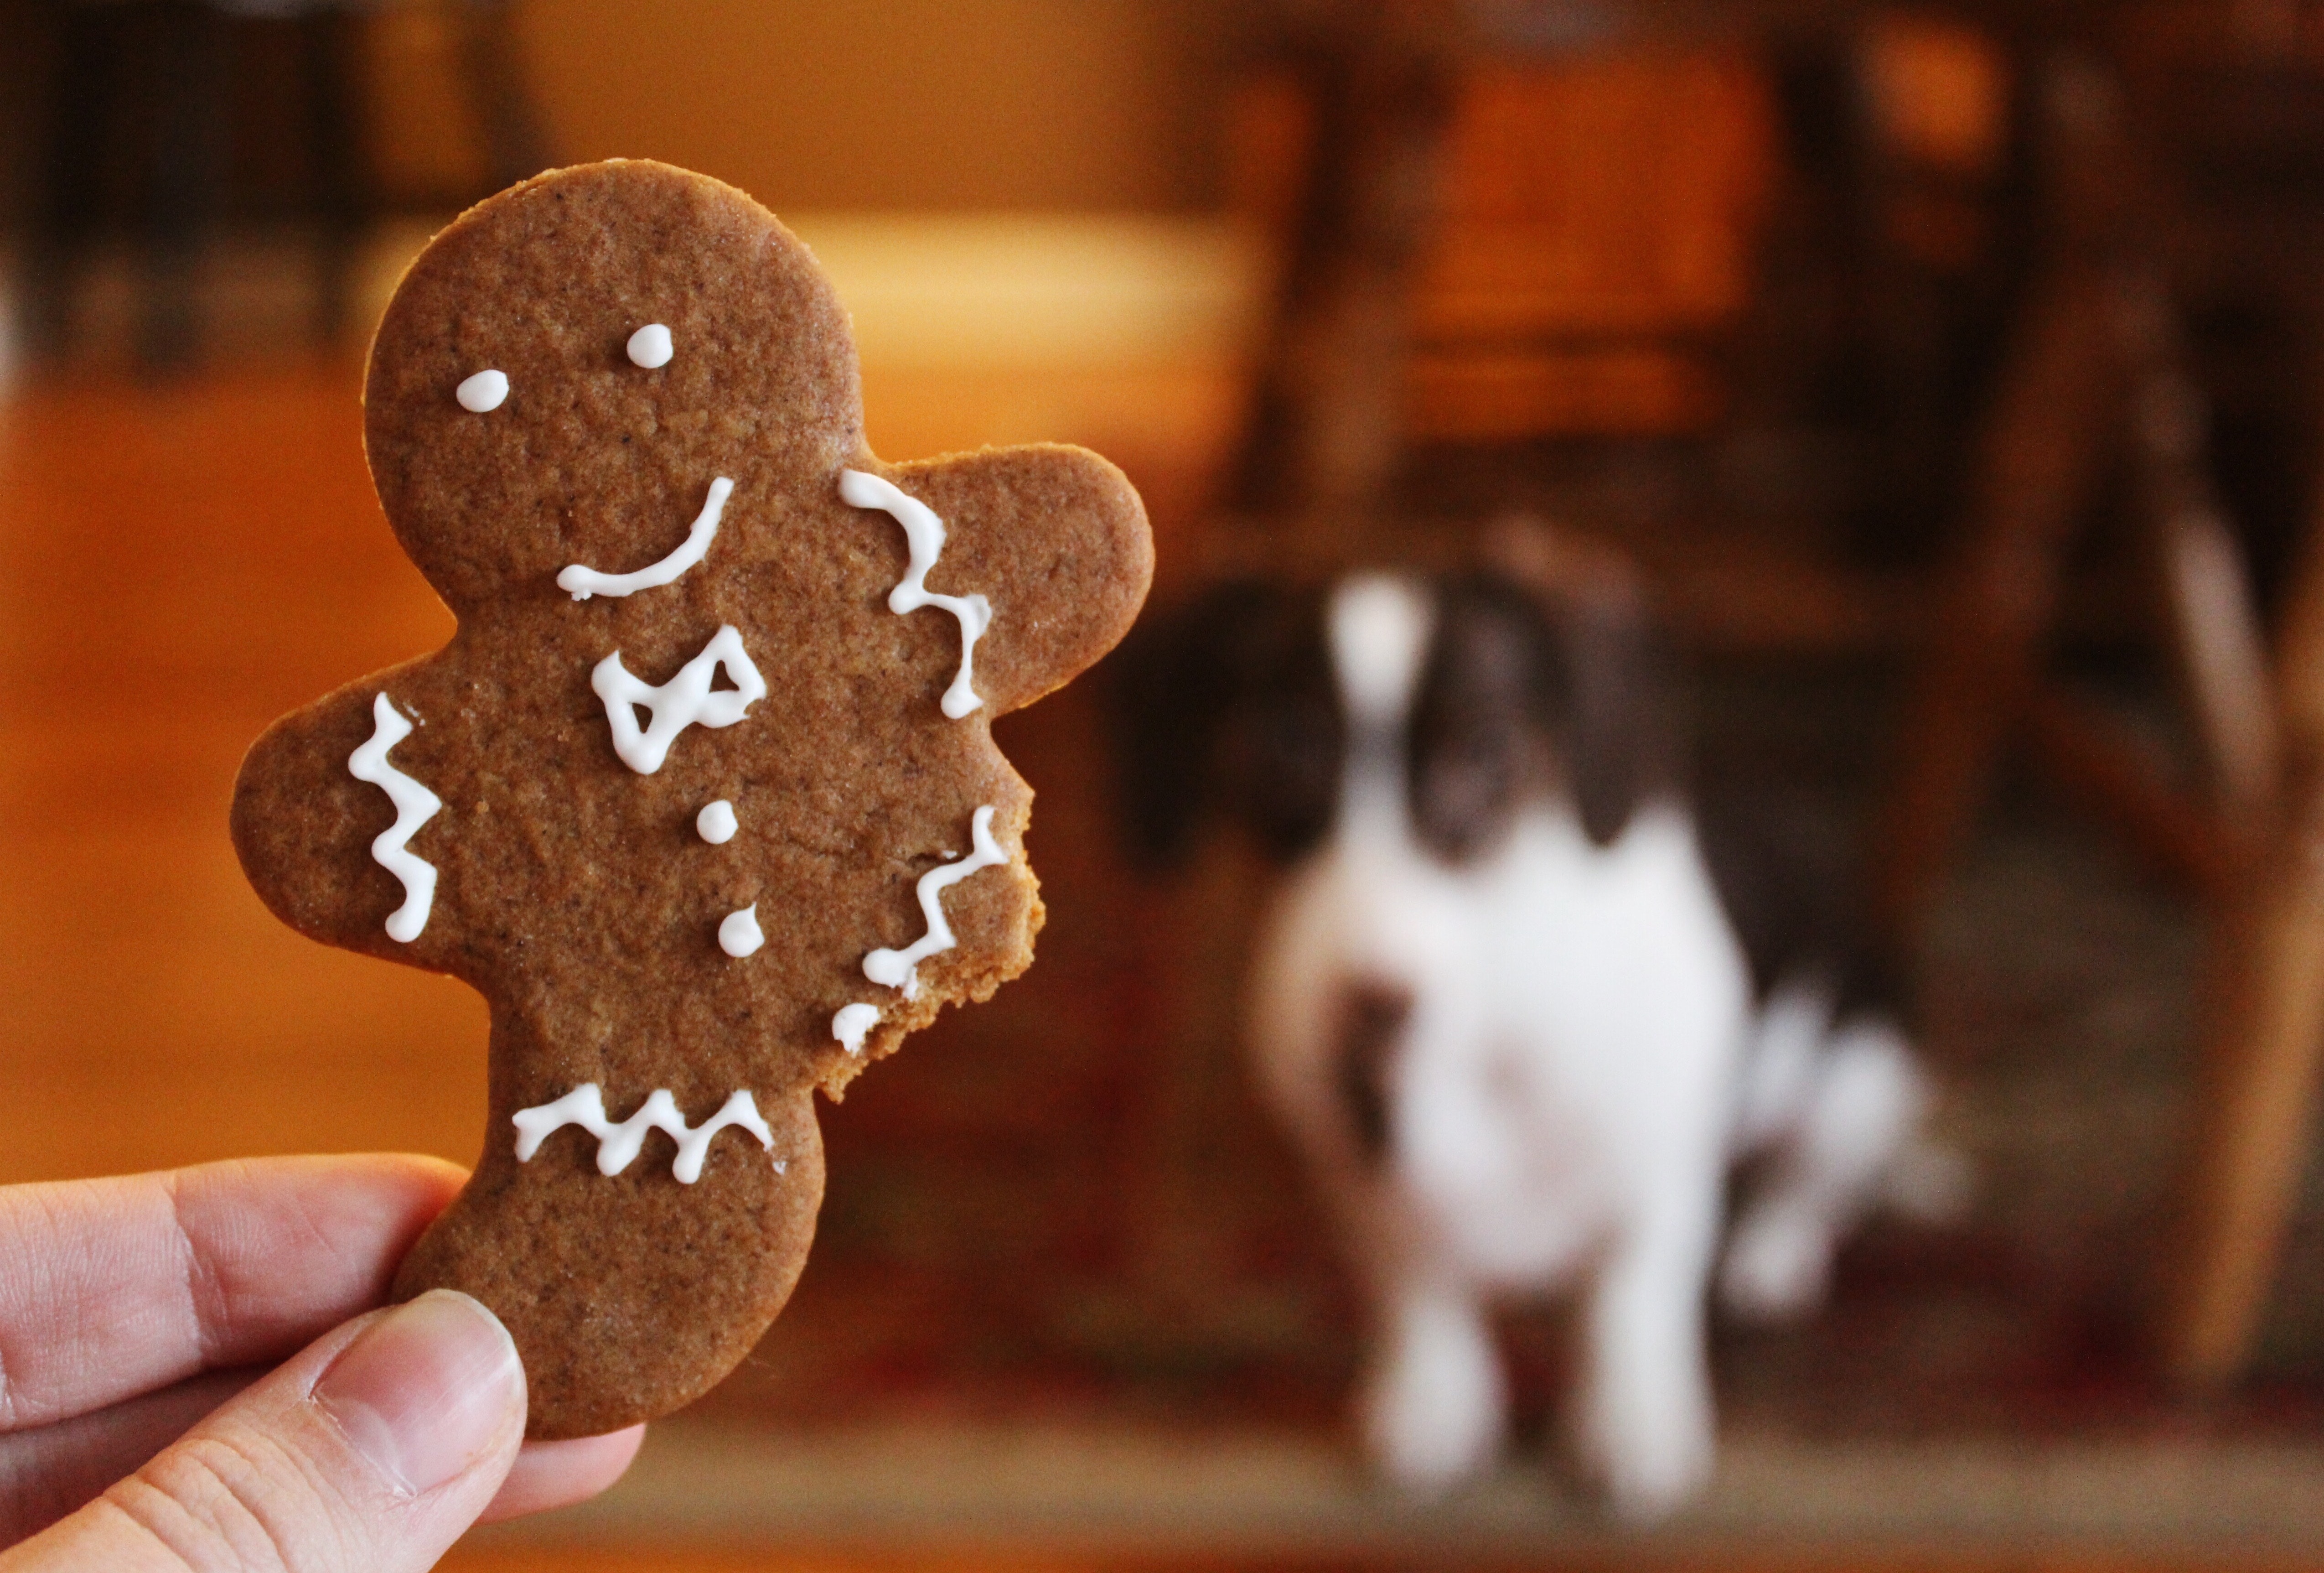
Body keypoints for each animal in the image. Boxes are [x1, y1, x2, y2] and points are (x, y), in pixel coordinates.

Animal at [1115, 534, 1971, 1515]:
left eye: (1487, 747)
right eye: (1284, 742)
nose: (1371, 1005)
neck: (1482, 1039)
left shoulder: (1656, 1188)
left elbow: (1629, 1310)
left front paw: (1630, 1424)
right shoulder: (1366, 1192)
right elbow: (1419, 1297)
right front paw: (1434, 1401)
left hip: (1860, 1073)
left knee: (1808, 1181)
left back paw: (1770, 1253)